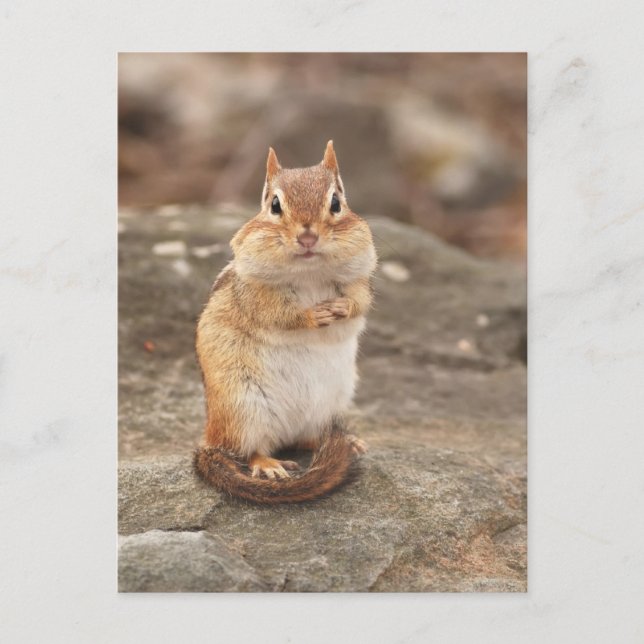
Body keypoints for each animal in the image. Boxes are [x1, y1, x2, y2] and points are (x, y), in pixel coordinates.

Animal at [194, 141, 377, 504]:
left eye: (336, 203)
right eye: (275, 205)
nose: (307, 237)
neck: (309, 272)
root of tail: (211, 439)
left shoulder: (359, 279)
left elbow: (360, 301)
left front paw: (342, 308)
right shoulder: (255, 294)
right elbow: (277, 314)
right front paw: (312, 315)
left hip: (329, 406)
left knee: (308, 438)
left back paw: (346, 442)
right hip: (244, 409)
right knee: (251, 450)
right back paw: (268, 465)